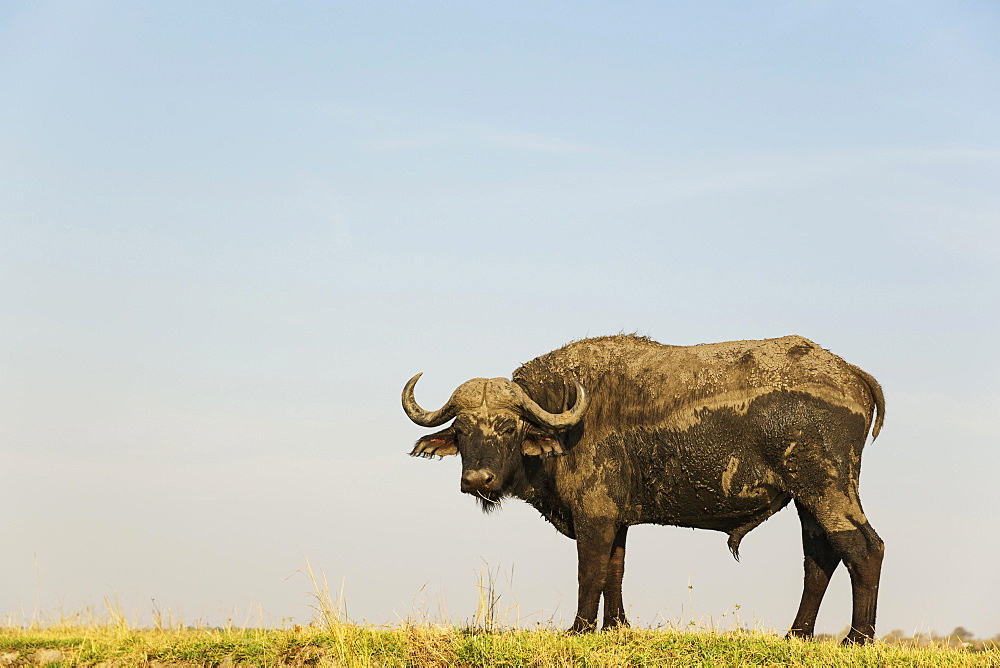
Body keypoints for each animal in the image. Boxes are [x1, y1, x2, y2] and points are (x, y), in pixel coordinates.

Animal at [402, 336, 888, 644]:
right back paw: (797, 635)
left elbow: (589, 572)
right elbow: (614, 572)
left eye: (507, 427)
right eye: (461, 429)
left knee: (864, 549)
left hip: (827, 489)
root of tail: (851, 373)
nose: (476, 481)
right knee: (819, 558)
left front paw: (579, 629)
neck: (565, 417)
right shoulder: (617, 521)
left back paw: (857, 638)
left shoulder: (593, 517)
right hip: (808, 500)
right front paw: (616, 627)